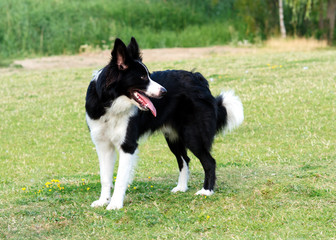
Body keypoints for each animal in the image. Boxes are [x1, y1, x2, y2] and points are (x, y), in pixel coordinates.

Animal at [85, 36, 243, 209]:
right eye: (142, 77)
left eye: (149, 75)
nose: (164, 92)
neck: (111, 104)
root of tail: (199, 79)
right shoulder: (103, 145)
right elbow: (105, 177)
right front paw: (103, 201)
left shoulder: (128, 145)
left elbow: (120, 178)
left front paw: (114, 204)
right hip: (173, 137)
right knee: (184, 160)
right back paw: (181, 188)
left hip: (192, 135)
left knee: (209, 162)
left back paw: (206, 191)